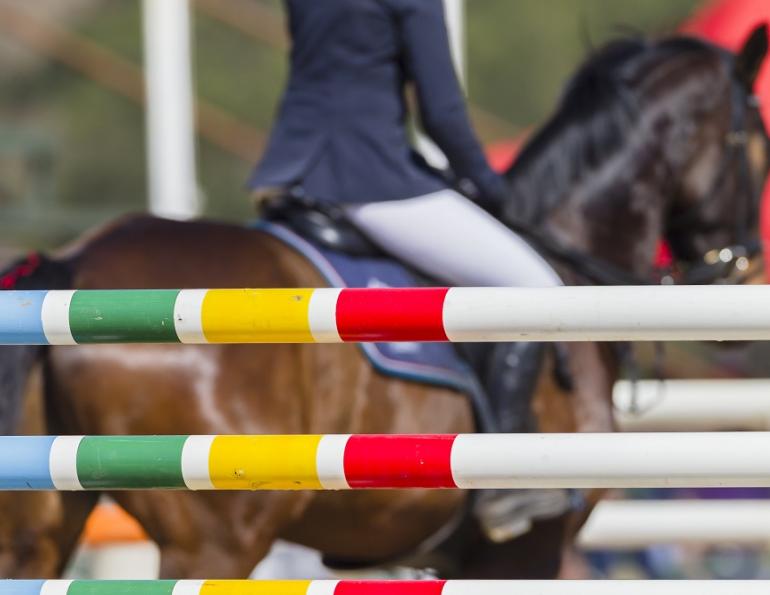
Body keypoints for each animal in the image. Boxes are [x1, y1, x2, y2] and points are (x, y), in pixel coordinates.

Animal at [0, 28, 768, 579]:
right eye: (757, 148)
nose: (746, 274)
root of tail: (72, 262)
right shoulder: (525, 550)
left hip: (46, 518)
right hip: (219, 536)